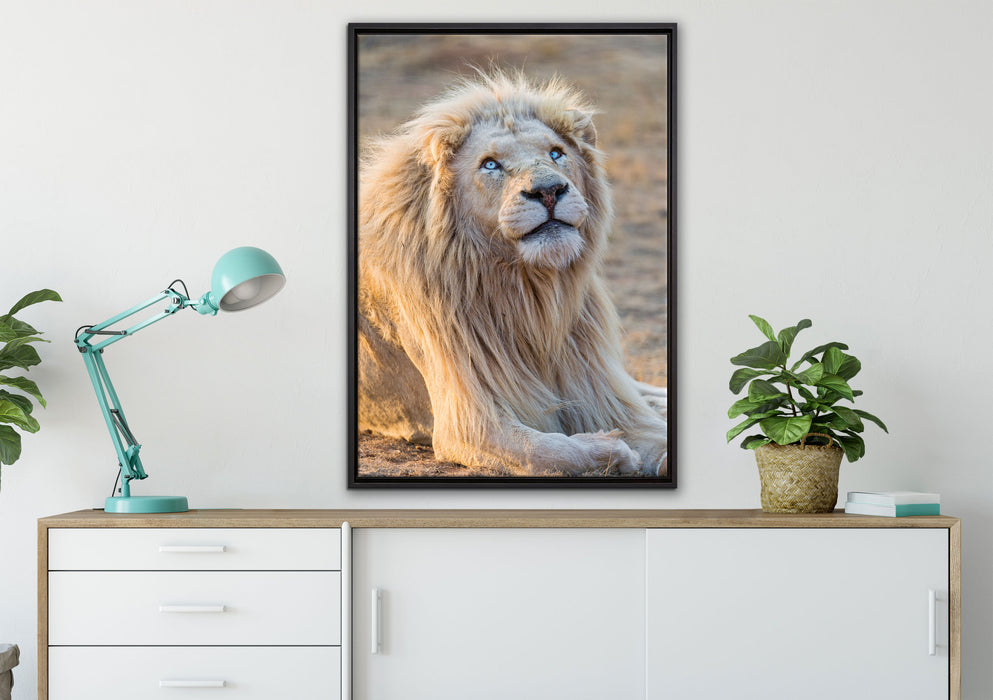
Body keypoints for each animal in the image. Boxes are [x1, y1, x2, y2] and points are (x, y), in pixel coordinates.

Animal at [358, 71, 668, 477]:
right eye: (490, 165)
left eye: (556, 153)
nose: (549, 191)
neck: (530, 292)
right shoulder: (470, 424)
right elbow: (549, 451)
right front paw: (612, 450)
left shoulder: (598, 390)